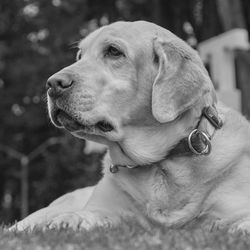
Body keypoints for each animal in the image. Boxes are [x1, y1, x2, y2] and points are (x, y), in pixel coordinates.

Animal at [12, 20, 250, 232]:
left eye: (114, 51)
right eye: (80, 55)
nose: (52, 84)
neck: (161, 163)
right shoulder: (105, 209)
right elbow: (87, 214)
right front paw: (68, 221)